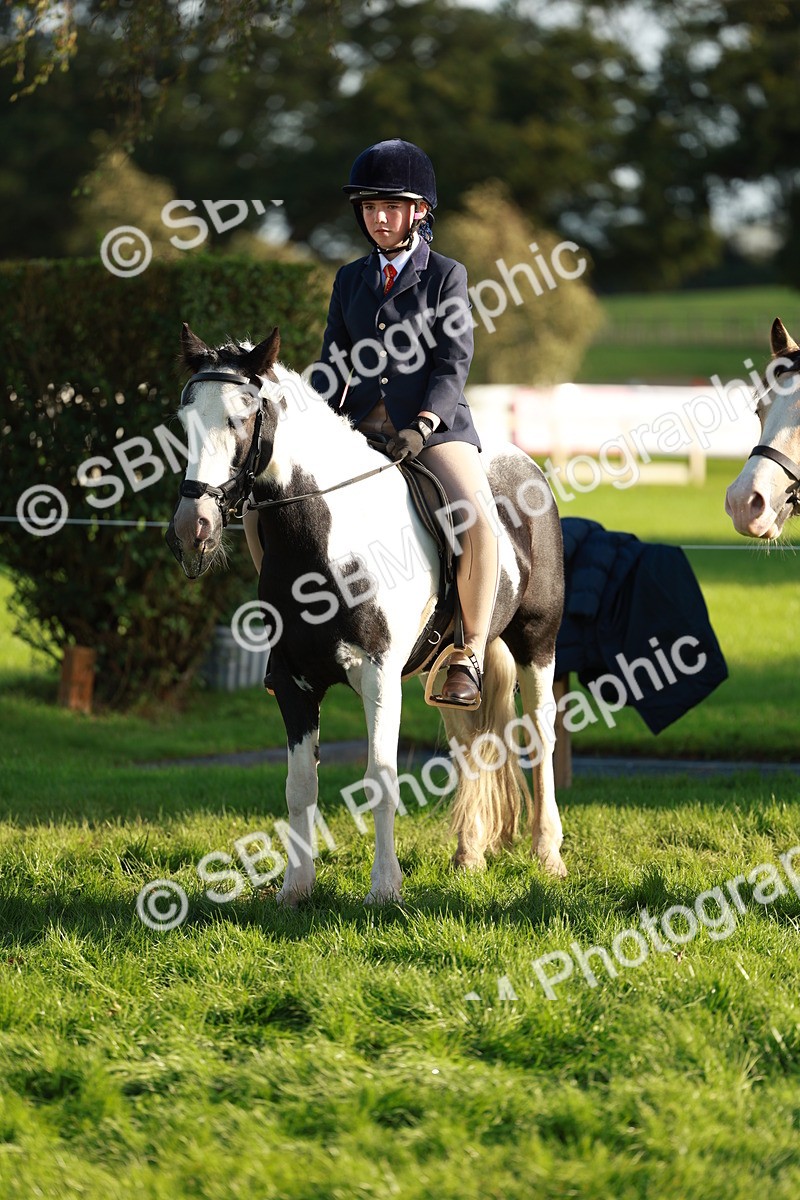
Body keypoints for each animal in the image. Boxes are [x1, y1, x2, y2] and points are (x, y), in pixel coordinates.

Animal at [166, 323, 566, 904]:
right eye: (184, 421)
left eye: (241, 417)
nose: (191, 527)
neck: (329, 539)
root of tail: (523, 460)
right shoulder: (293, 682)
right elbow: (299, 787)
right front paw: (295, 888)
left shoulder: (378, 677)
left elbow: (380, 778)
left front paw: (384, 888)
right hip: (446, 666)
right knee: (468, 742)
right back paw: (469, 856)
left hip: (538, 641)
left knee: (540, 734)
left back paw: (548, 854)